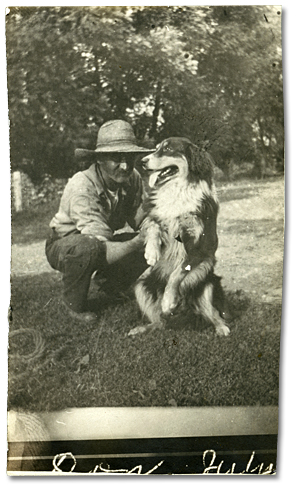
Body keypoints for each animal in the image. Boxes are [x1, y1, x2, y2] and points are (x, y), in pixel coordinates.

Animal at [127, 138, 230, 338]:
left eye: (168, 148)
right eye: (156, 148)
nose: (142, 162)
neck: (177, 190)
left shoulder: (199, 246)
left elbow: (178, 272)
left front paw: (168, 301)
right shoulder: (157, 217)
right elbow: (153, 226)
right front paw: (151, 253)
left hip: (208, 286)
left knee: (214, 314)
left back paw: (222, 328)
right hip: (141, 286)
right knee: (159, 322)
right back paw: (141, 328)